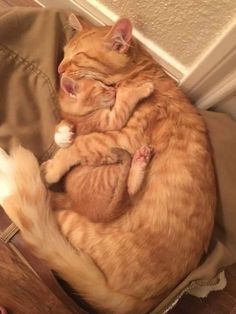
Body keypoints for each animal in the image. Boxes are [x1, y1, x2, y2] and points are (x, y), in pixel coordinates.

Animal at [50, 75, 153, 223]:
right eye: (99, 88)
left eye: (103, 83)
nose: (113, 89)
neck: (80, 117)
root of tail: (74, 204)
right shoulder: (110, 120)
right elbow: (124, 102)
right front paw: (140, 89)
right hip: (113, 170)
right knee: (130, 188)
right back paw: (140, 160)